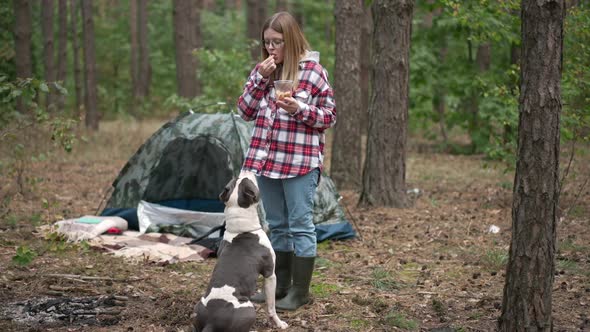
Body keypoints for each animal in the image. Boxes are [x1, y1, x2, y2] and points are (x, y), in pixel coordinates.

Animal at [193, 172, 288, 330]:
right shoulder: (270, 275)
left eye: (237, 180)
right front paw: (279, 323)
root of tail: (211, 322)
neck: (241, 229)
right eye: (248, 180)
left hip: (199, 307)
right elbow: (271, 306)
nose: (246, 170)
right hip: (248, 308)